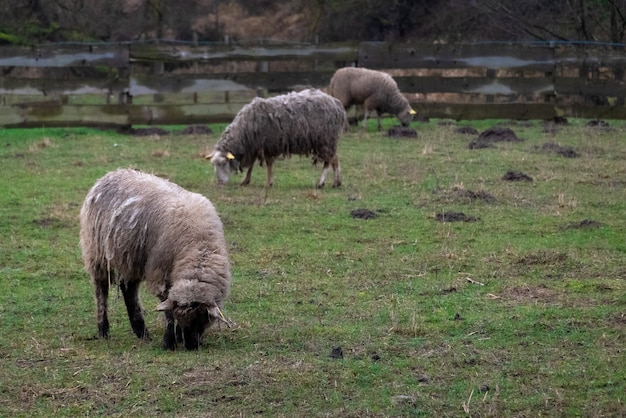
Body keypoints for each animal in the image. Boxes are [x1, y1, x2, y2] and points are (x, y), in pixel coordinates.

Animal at [80, 168, 232, 352]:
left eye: (202, 318)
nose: (191, 346)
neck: (198, 249)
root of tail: (109, 174)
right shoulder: (161, 274)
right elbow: (168, 312)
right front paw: (169, 342)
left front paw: (179, 337)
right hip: (97, 251)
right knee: (101, 290)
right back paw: (103, 330)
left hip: (131, 257)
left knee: (128, 290)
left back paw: (141, 332)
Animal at [206, 89, 344, 189]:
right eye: (213, 165)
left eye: (224, 163)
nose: (219, 182)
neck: (245, 129)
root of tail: (336, 102)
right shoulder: (255, 147)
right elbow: (251, 165)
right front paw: (245, 181)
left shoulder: (268, 145)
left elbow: (268, 164)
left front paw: (269, 183)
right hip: (329, 141)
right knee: (335, 159)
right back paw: (336, 182)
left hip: (325, 140)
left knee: (328, 161)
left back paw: (321, 183)